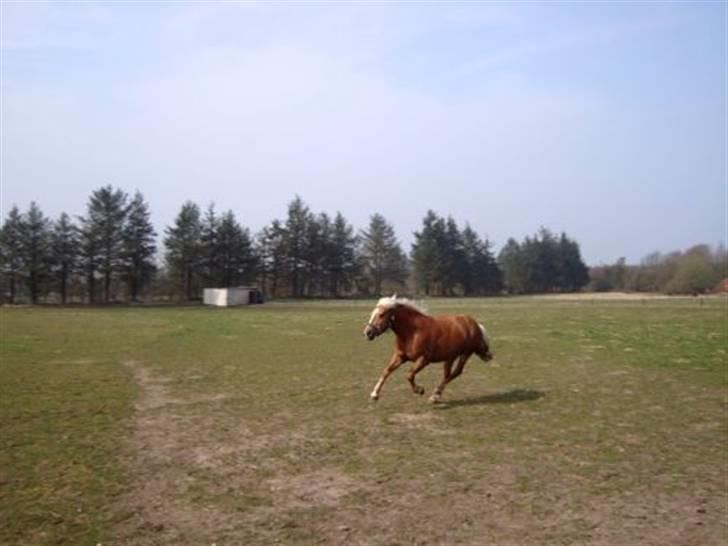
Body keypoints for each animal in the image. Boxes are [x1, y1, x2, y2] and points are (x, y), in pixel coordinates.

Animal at [364, 294, 494, 404]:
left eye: (381, 314)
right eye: (372, 313)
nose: (368, 333)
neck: (412, 332)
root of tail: (475, 324)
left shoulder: (424, 359)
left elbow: (409, 375)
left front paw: (420, 390)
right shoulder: (400, 356)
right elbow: (387, 371)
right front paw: (374, 394)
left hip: (466, 353)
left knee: (457, 372)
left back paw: (435, 396)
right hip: (450, 357)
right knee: (447, 375)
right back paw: (436, 395)